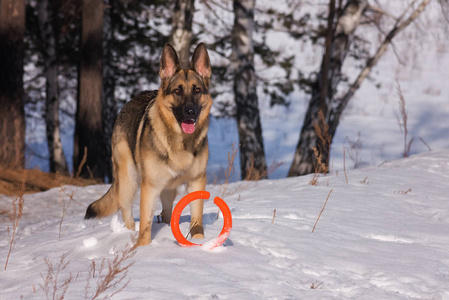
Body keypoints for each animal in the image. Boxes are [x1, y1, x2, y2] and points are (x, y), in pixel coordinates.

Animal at [85, 43, 213, 247]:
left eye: (197, 90)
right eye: (177, 91)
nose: (190, 112)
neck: (180, 142)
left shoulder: (196, 182)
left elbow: (196, 219)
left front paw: (200, 242)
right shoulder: (150, 187)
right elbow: (145, 224)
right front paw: (143, 249)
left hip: (168, 191)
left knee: (167, 212)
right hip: (128, 181)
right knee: (127, 211)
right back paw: (127, 233)